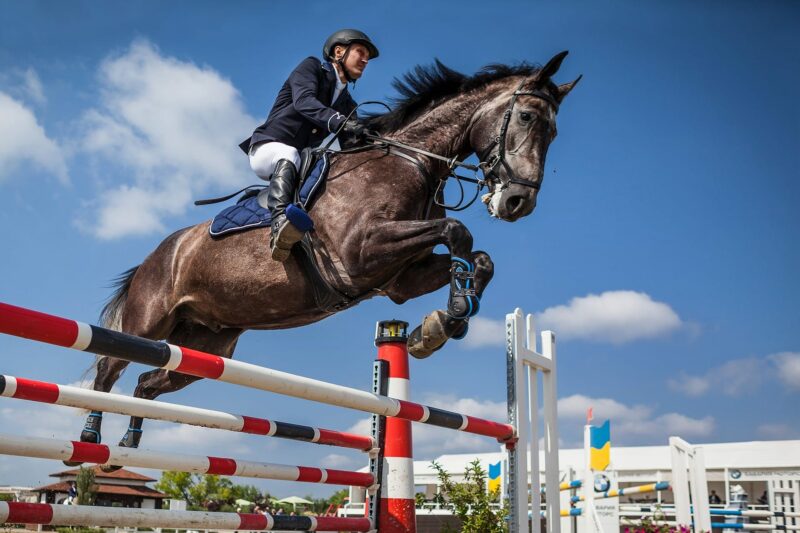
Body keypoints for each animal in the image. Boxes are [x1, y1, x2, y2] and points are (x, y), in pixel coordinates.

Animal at [72, 51, 580, 469]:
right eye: (527, 117)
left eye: (554, 131)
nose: (517, 202)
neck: (410, 164)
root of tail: (159, 253)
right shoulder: (360, 254)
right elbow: (459, 231)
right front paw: (447, 316)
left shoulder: (399, 278)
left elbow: (480, 258)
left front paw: (441, 324)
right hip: (149, 322)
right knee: (110, 365)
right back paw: (90, 438)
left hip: (207, 344)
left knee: (149, 381)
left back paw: (129, 440)